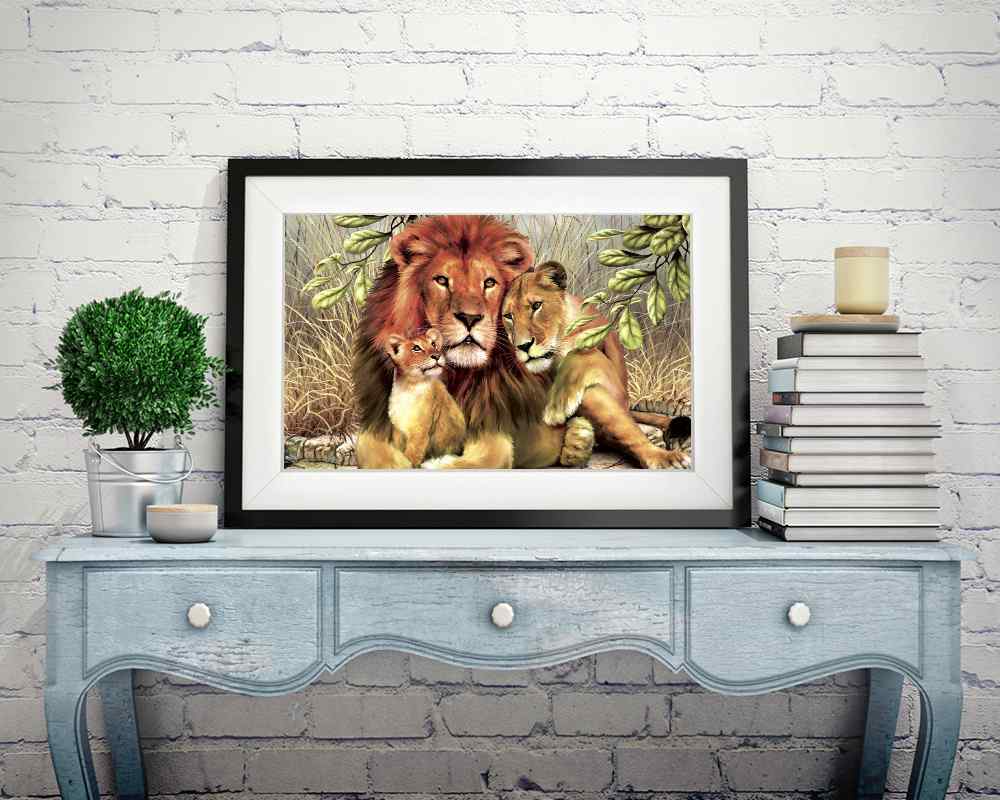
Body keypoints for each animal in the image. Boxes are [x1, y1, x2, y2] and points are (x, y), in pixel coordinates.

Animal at [353, 216, 594, 470]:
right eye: (441, 280)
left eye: (489, 283)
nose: (470, 318)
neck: (458, 375)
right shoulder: (377, 425)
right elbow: (377, 455)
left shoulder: (493, 429)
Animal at [502, 261, 690, 470]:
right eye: (508, 316)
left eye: (536, 306)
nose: (523, 346)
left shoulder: (618, 389)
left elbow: (582, 352)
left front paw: (557, 407)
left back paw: (664, 457)